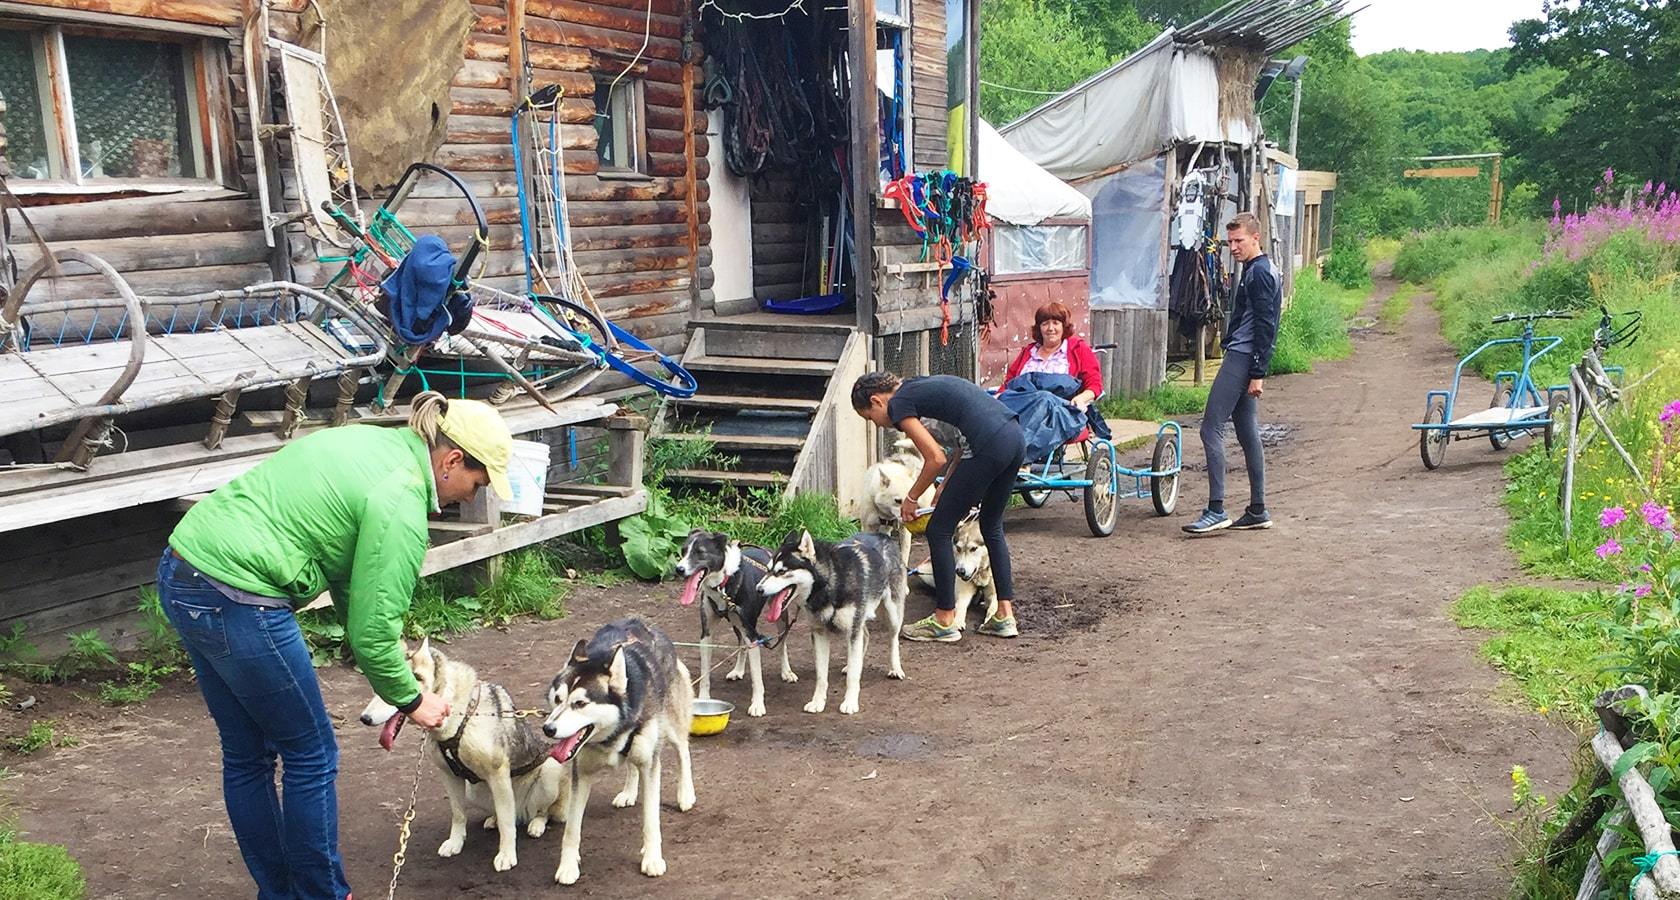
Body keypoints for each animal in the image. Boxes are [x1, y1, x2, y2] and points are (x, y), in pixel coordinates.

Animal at [357, 641, 567, 873]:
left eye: (395, 692)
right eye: (377, 690)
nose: (364, 719)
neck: (456, 713)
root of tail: (522, 812)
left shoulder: (498, 774)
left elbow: (507, 825)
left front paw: (506, 855)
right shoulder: (450, 776)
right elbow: (458, 815)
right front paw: (455, 843)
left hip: (549, 771)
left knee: (539, 812)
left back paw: (536, 824)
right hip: (473, 791)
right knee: (504, 813)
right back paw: (493, 819)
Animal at [540, 617, 692, 886]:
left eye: (580, 704)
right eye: (557, 699)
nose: (548, 729)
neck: (612, 733)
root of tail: (641, 622)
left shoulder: (651, 764)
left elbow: (651, 820)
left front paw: (652, 859)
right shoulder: (582, 773)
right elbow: (572, 829)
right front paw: (568, 866)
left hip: (670, 724)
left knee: (683, 750)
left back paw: (686, 794)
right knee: (632, 764)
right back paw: (629, 792)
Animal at [672, 527, 796, 718]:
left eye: (700, 552)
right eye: (684, 551)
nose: (679, 569)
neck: (722, 583)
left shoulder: (751, 634)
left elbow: (757, 677)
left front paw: (757, 705)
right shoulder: (706, 635)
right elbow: (705, 674)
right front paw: (704, 699)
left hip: (779, 615)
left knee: (782, 643)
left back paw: (786, 672)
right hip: (736, 623)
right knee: (740, 644)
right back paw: (738, 670)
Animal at [762, 527, 907, 718]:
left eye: (781, 571)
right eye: (768, 569)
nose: (758, 589)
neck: (831, 582)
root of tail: (883, 535)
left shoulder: (853, 630)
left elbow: (853, 676)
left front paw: (850, 703)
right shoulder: (820, 634)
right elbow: (821, 676)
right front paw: (817, 702)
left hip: (892, 613)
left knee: (893, 639)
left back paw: (895, 668)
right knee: (866, 635)